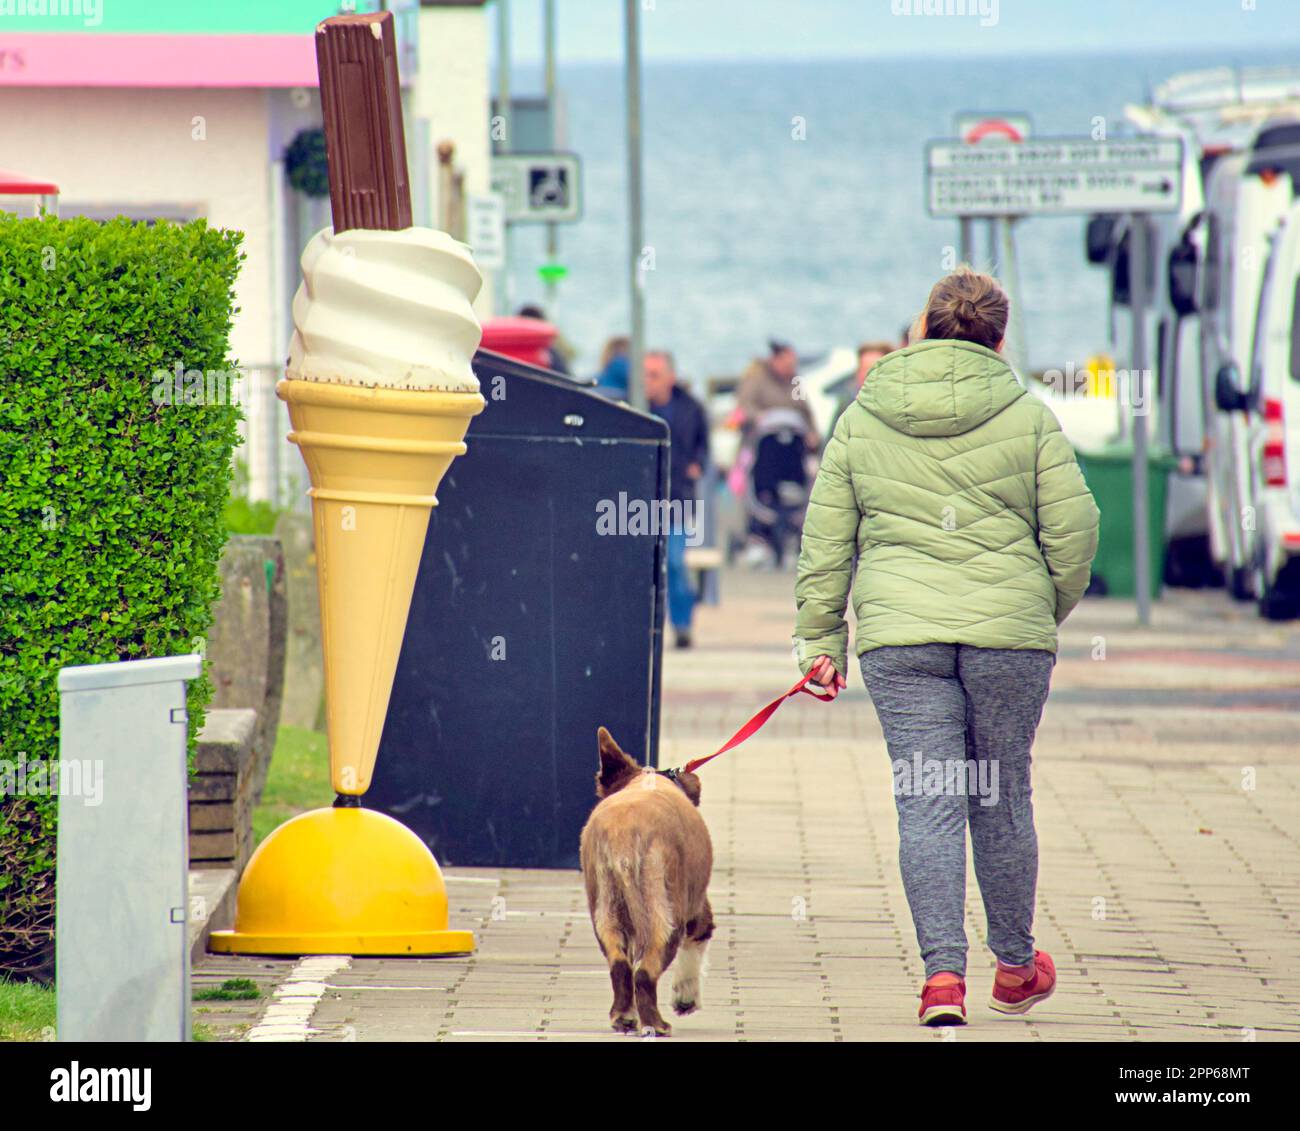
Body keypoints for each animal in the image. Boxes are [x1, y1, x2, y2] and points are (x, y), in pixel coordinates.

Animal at [585, 728, 717, 1034]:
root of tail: (623, 834)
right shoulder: (697, 907)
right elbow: (697, 944)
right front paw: (686, 999)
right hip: (665, 912)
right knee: (645, 971)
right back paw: (657, 1024)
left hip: (606, 909)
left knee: (621, 965)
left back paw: (624, 1017)